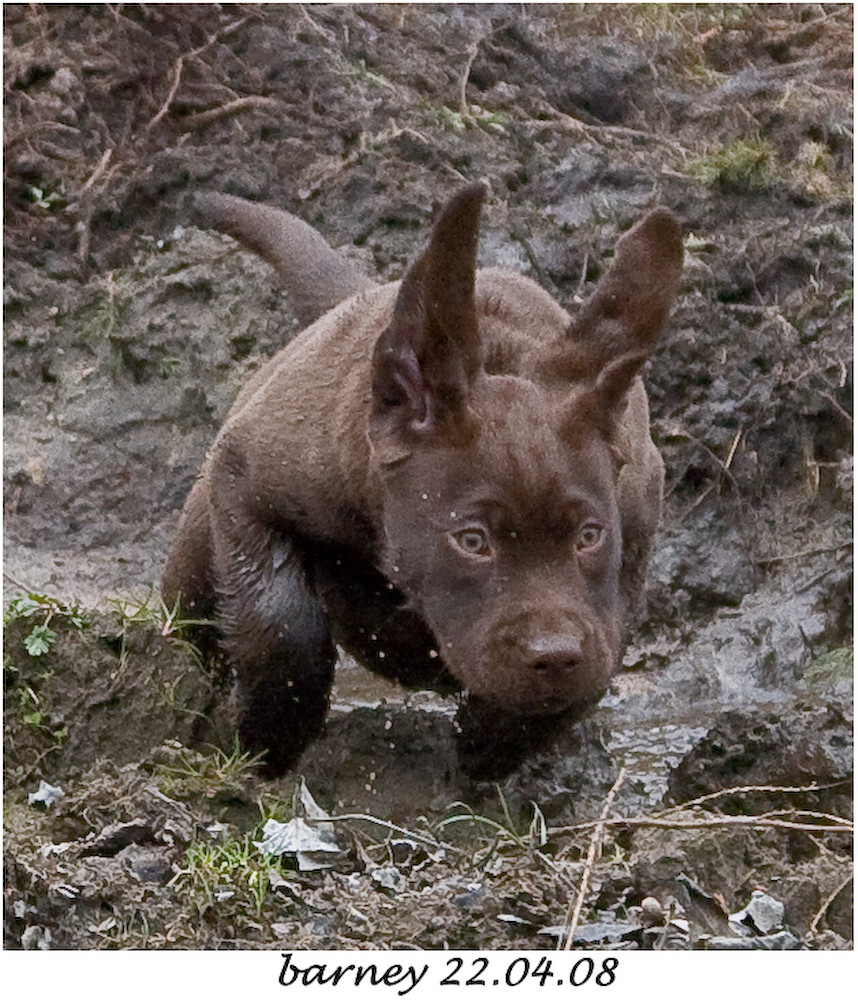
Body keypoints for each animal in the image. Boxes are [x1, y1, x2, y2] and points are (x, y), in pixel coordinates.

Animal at [162, 188, 684, 780]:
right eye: (472, 541)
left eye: (589, 536)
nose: (555, 657)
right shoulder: (244, 479)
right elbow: (282, 623)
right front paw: (268, 740)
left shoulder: (636, 521)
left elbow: (603, 642)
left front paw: (497, 737)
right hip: (196, 563)